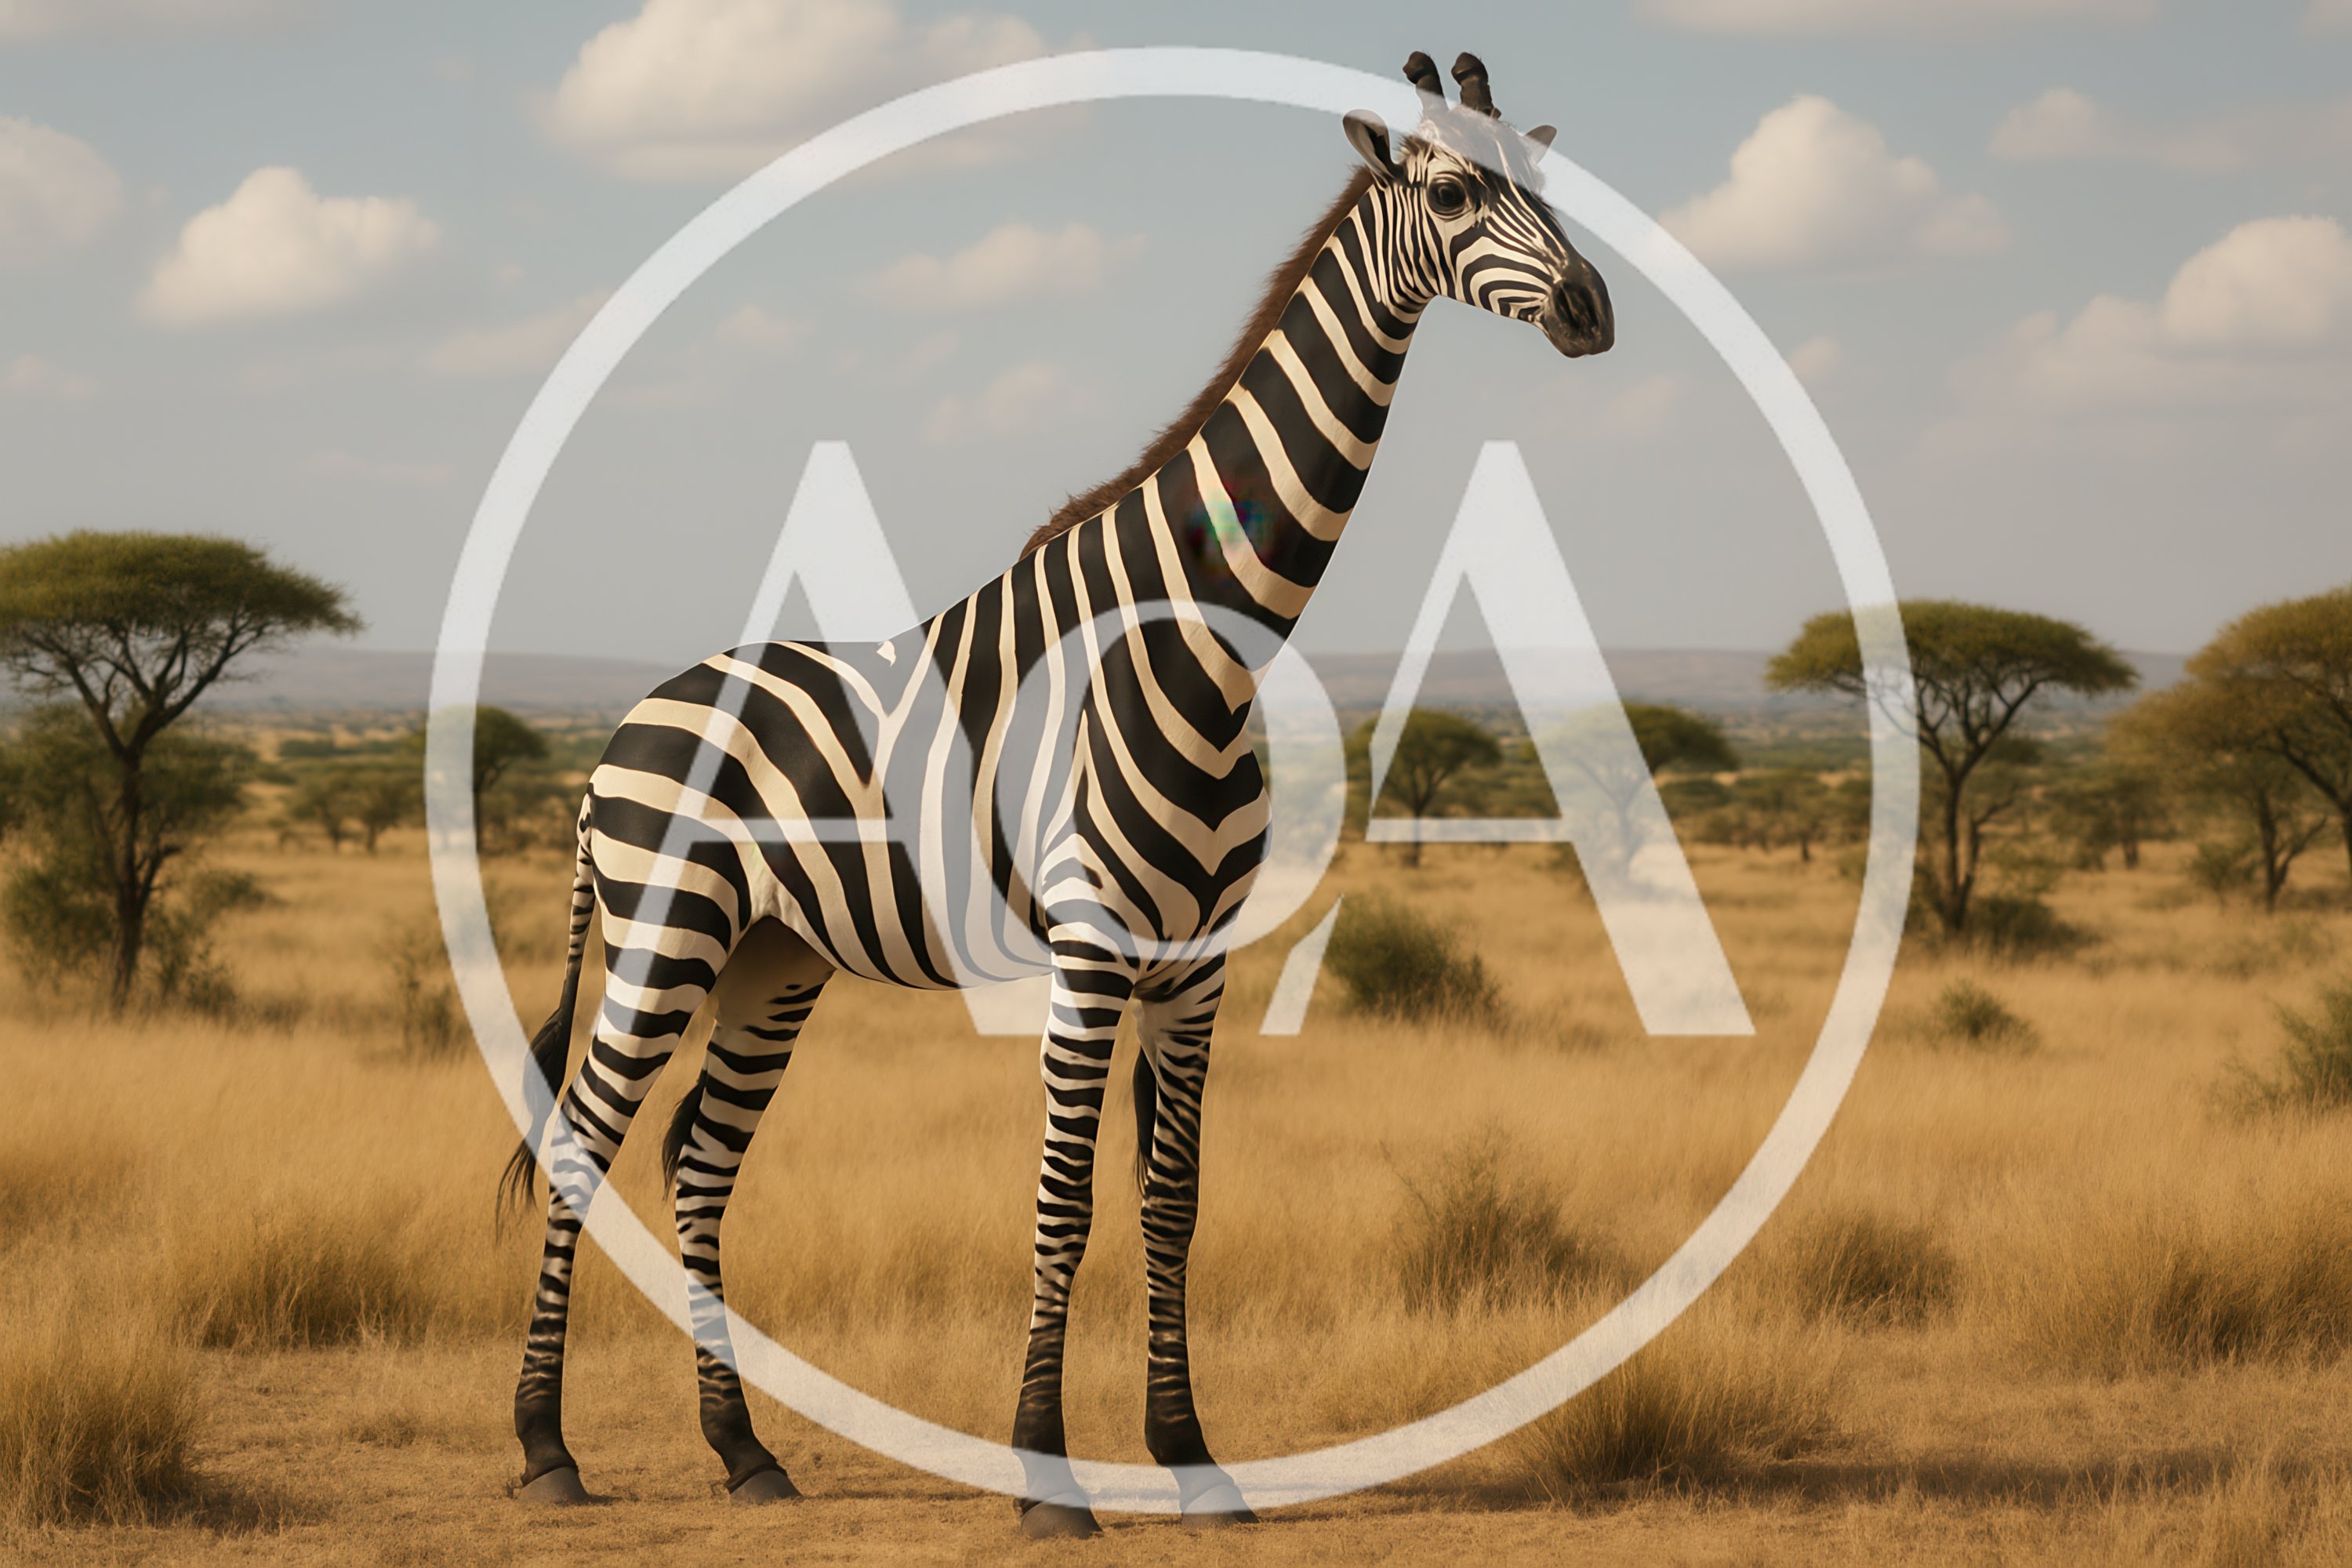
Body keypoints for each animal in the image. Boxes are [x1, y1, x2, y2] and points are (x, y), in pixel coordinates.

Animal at [497, 50, 1614, 1536]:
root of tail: (626, 724)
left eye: (1539, 180)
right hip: (662, 934)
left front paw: (1191, 1457)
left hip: (771, 961)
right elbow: (1066, 1202)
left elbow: (1172, 1202)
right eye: (1448, 193)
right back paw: (546, 1446)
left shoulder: (1197, 963)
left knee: (695, 1160)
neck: (1198, 646)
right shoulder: (1090, 950)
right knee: (582, 1142)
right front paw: (1045, 1475)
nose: (1595, 311)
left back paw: (744, 1451)